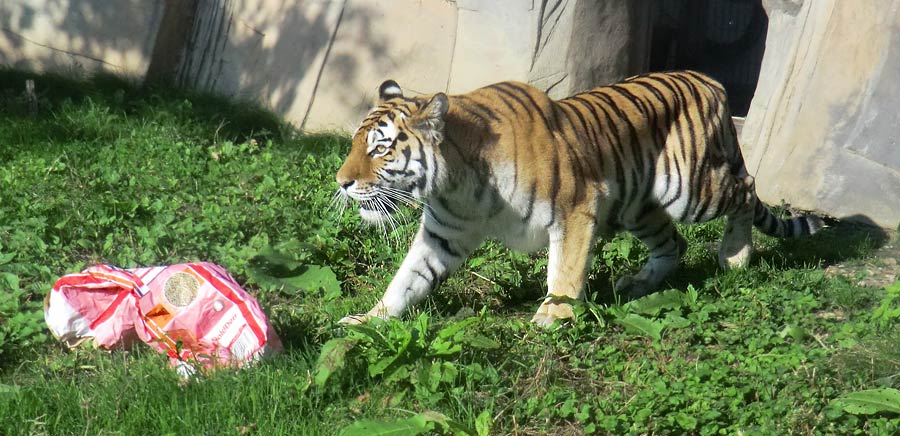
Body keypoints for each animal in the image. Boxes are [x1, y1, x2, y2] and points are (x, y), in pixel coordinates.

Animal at [336, 70, 824, 326]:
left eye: (380, 148)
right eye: (356, 143)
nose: (341, 182)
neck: (458, 185)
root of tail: (711, 82)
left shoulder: (575, 206)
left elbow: (565, 270)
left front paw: (554, 317)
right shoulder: (443, 235)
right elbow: (407, 280)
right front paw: (367, 320)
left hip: (689, 190)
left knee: (747, 188)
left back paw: (735, 257)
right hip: (638, 205)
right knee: (673, 242)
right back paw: (639, 284)